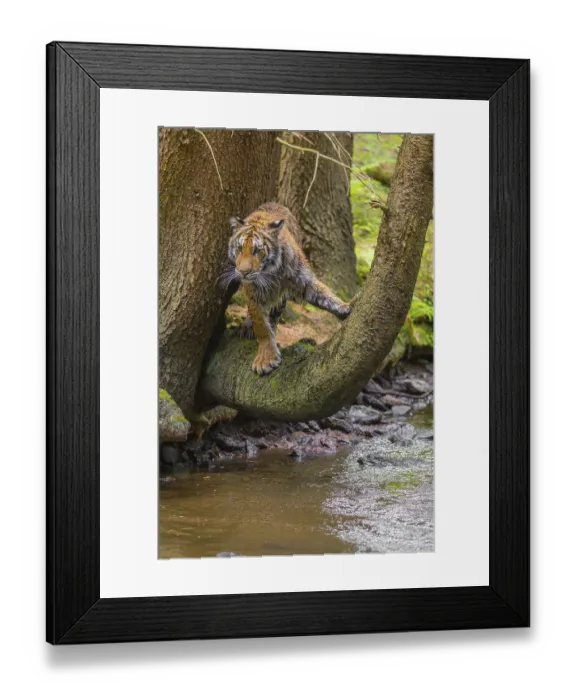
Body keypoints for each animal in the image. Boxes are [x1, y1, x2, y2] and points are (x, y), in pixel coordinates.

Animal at [222, 202, 352, 376]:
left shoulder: (303, 280)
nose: (243, 272)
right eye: (239, 248)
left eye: (257, 250)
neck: (270, 272)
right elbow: (262, 326)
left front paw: (346, 307)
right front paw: (266, 358)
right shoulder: (253, 294)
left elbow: (325, 294)